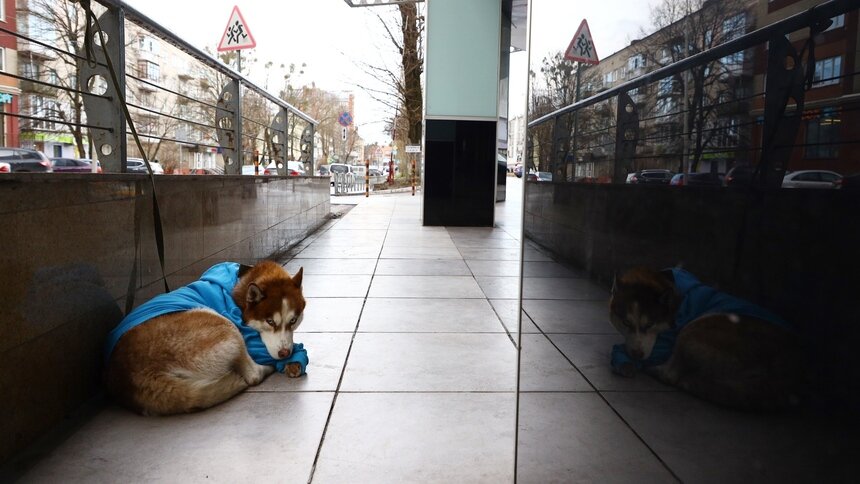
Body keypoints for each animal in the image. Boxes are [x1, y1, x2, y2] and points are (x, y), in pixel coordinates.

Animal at [106, 260, 310, 416]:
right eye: (270, 321)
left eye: (293, 320)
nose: (285, 353)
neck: (240, 284)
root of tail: (134, 374)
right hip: (221, 324)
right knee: (252, 375)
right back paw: (264, 368)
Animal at [608, 266, 804, 410]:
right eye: (625, 322)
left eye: (650, 324)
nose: (637, 355)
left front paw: (625, 359)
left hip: (697, 328)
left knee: (671, 375)